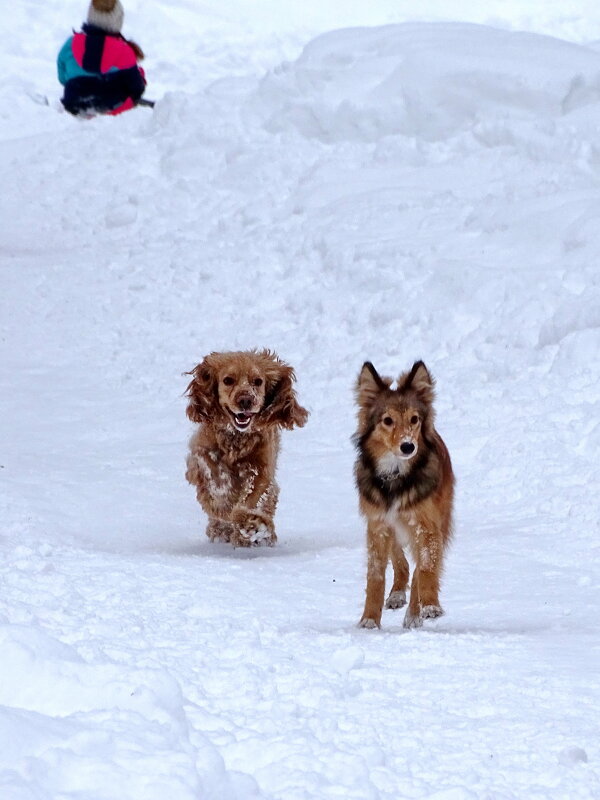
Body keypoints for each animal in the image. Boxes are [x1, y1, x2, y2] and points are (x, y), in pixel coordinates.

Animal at [184, 348, 308, 544]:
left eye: (258, 381)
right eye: (228, 380)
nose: (246, 400)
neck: (236, 437)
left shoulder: (262, 469)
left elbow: (251, 499)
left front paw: (253, 524)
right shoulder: (198, 454)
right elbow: (211, 469)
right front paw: (223, 497)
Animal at [352, 360, 454, 628]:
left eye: (414, 419)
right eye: (387, 420)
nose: (408, 446)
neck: (396, 476)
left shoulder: (427, 526)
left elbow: (426, 568)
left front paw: (429, 606)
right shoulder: (378, 525)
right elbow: (375, 576)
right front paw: (369, 620)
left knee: (419, 566)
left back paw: (413, 614)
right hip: (393, 527)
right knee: (401, 562)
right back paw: (397, 594)